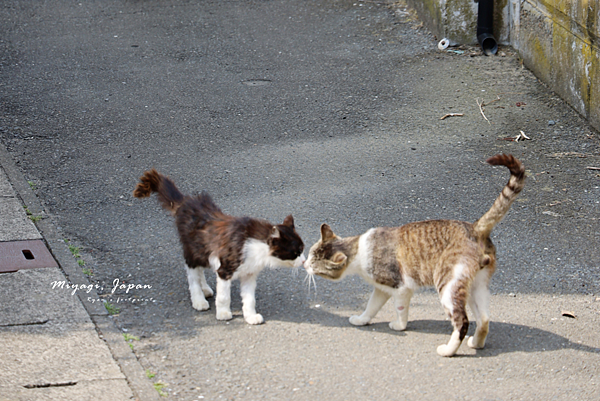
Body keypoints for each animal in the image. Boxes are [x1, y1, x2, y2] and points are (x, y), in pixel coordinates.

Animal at [134, 167, 308, 324]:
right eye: (297, 251)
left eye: (303, 249)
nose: (304, 261)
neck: (257, 248)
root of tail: (186, 201)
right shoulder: (225, 269)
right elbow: (224, 296)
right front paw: (223, 313)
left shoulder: (249, 274)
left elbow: (250, 299)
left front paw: (250, 316)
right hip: (193, 249)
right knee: (192, 274)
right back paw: (199, 300)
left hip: (205, 251)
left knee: (200, 270)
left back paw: (205, 289)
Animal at [304, 154, 524, 356]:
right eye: (310, 255)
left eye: (314, 264)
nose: (304, 264)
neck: (359, 249)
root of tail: (475, 227)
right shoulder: (382, 288)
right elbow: (371, 306)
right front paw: (361, 319)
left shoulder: (400, 288)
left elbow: (400, 311)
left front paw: (399, 326)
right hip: (475, 286)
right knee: (484, 319)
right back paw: (476, 343)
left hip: (448, 285)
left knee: (463, 321)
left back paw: (448, 350)